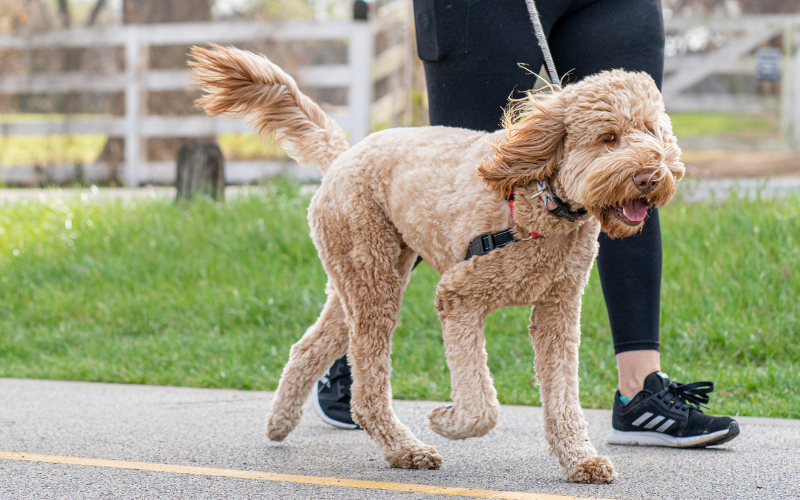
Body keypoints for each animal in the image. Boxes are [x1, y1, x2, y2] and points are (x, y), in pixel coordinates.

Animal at [191, 45, 684, 482]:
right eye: (609, 138)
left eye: (651, 132)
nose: (651, 176)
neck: (540, 200)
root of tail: (344, 155)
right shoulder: (459, 297)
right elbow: (482, 406)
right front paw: (447, 420)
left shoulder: (557, 312)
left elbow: (563, 396)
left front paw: (580, 459)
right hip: (373, 279)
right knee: (367, 389)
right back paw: (405, 449)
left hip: (364, 277)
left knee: (308, 348)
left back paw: (279, 422)